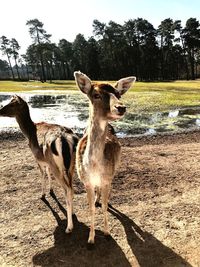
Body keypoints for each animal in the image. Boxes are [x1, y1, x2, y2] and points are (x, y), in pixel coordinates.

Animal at [0, 96, 79, 234]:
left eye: (12, 104)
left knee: (67, 190)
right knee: (72, 188)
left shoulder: (37, 158)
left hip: (57, 166)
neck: (29, 132)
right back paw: (73, 213)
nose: (0, 111)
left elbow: (42, 175)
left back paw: (69, 227)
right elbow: (47, 173)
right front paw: (50, 190)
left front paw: (42, 195)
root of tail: (65, 138)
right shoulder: (47, 162)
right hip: (70, 165)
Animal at [74, 71, 136, 247]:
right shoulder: (86, 181)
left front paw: (108, 234)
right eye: (96, 94)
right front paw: (90, 239)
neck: (94, 167)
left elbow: (105, 206)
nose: (121, 107)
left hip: (115, 169)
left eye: (118, 94)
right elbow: (91, 208)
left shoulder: (107, 178)